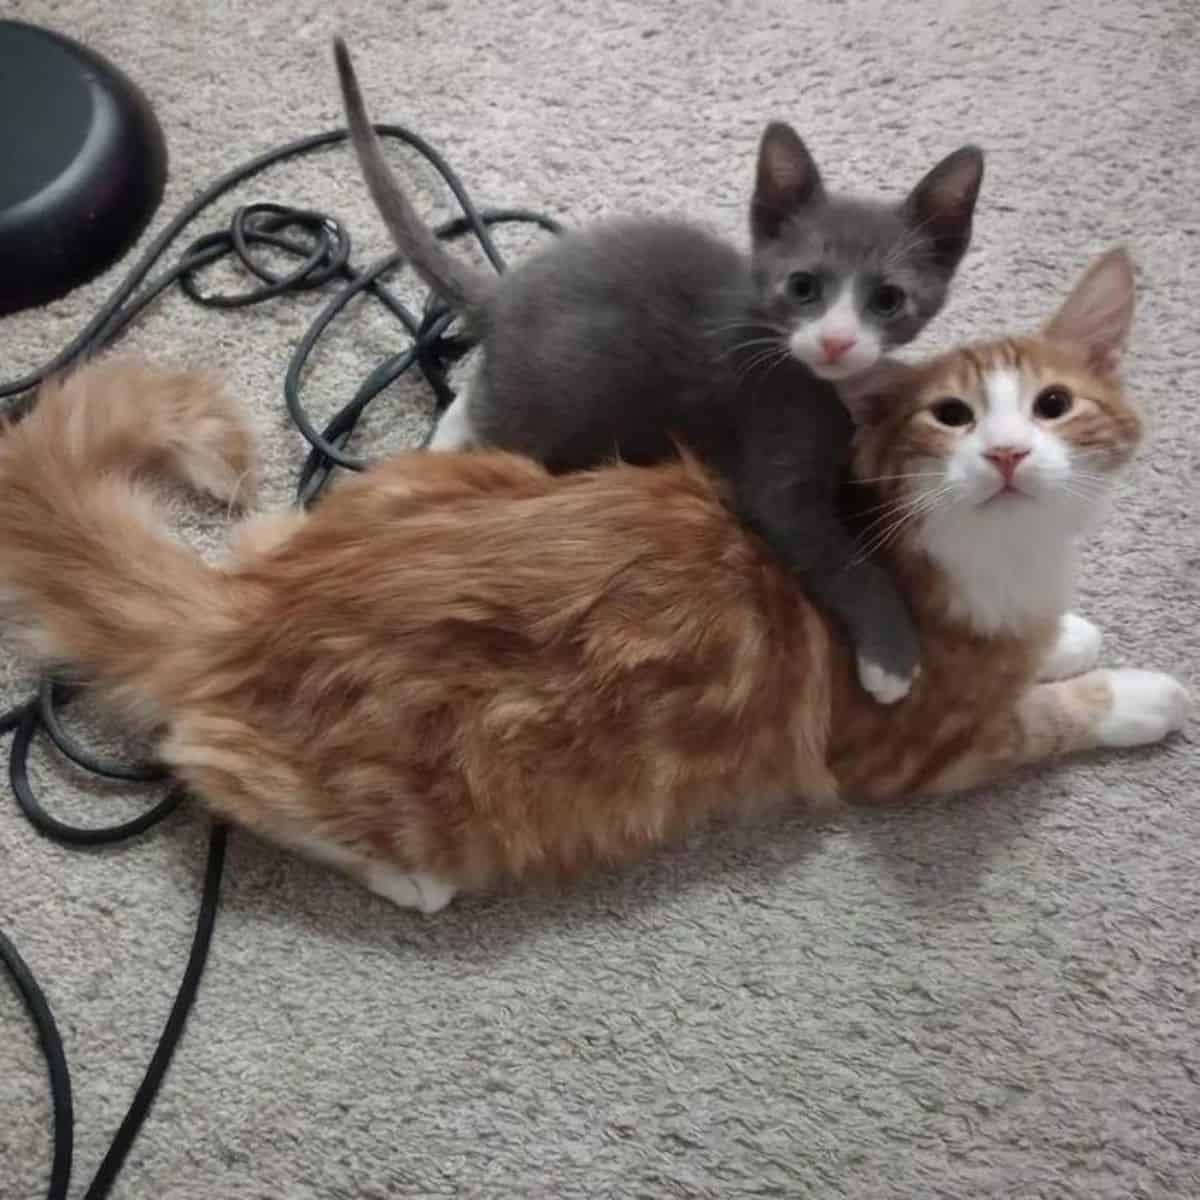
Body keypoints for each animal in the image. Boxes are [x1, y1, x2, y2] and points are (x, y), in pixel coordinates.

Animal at [0, 250, 1180, 907]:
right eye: (951, 417)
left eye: (1054, 407)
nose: (1009, 455)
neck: (1008, 557)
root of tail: (249, 605)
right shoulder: (907, 751)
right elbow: (1049, 716)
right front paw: (1143, 695)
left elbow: (1046, 648)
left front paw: (1070, 635)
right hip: (387, 790)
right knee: (211, 766)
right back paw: (406, 879)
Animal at [331, 42, 984, 700]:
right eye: (803, 287)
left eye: (888, 300)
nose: (836, 340)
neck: (820, 379)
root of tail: (506, 292)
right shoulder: (770, 441)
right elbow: (837, 556)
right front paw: (892, 658)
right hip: (567, 388)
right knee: (493, 413)